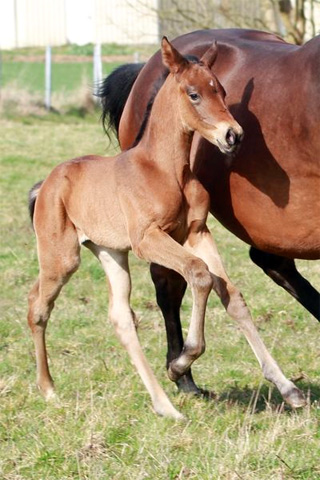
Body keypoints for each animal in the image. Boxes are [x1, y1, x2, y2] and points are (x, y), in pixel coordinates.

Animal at [27, 38, 298, 420]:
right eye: (194, 94)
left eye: (221, 90)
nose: (233, 135)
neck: (165, 169)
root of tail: (47, 183)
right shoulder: (149, 239)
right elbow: (199, 274)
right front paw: (181, 362)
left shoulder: (197, 233)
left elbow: (230, 294)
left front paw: (288, 388)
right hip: (62, 258)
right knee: (37, 305)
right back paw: (49, 388)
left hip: (111, 252)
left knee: (121, 317)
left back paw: (164, 406)